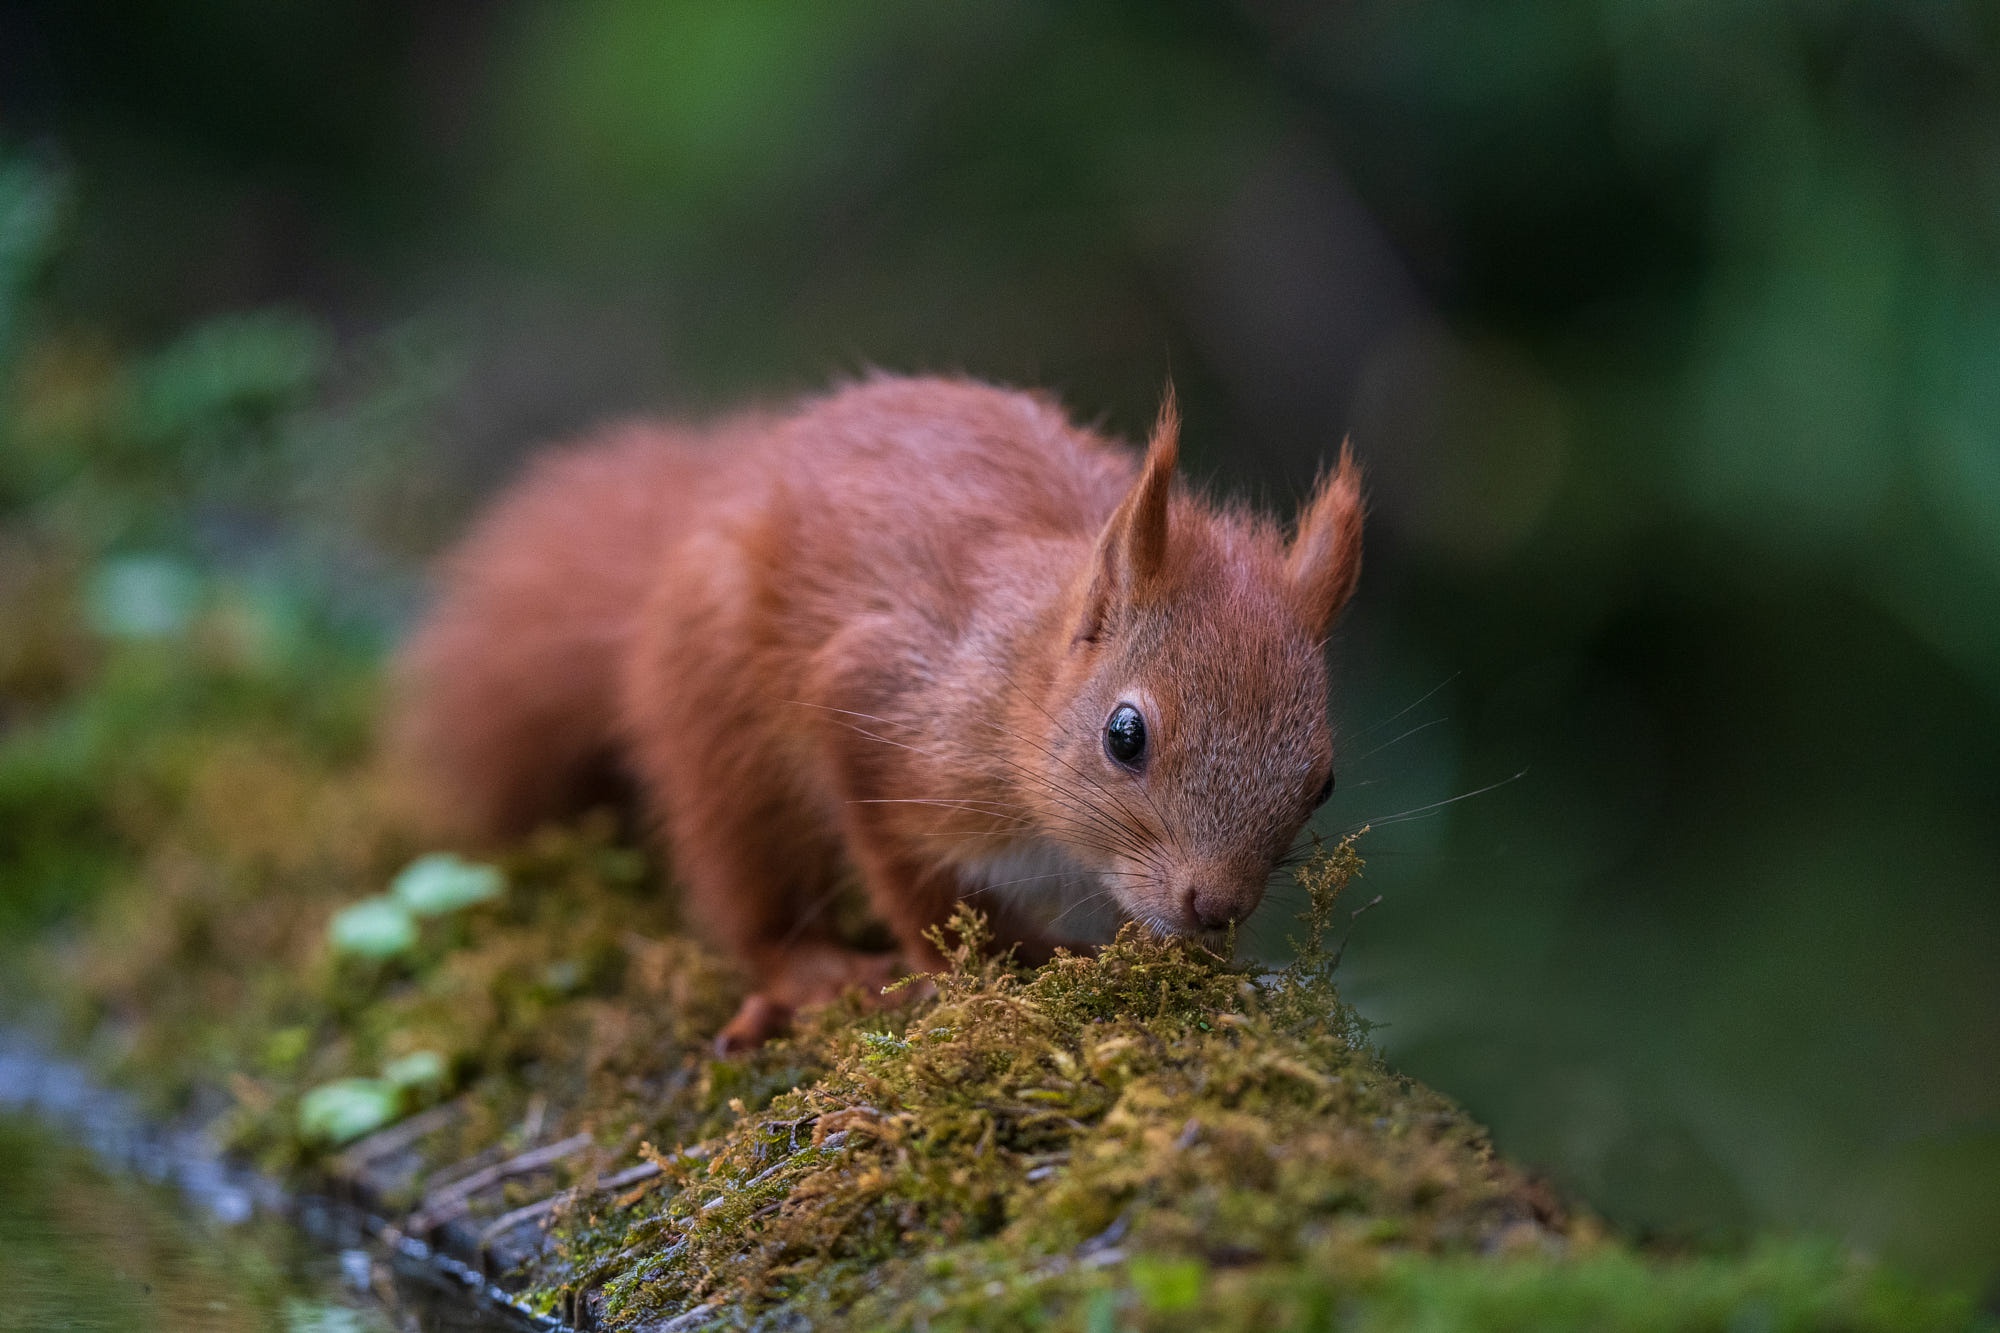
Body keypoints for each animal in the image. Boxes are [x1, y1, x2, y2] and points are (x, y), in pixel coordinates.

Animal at [390, 368, 1360, 1040]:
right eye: (1126, 735)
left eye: (1324, 780)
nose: (1216, 905)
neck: (1014, 683)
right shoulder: (878, 710)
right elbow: (911, 881)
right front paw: (982, 971)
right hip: (726, 743)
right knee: (749, 891)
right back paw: (814, 970)